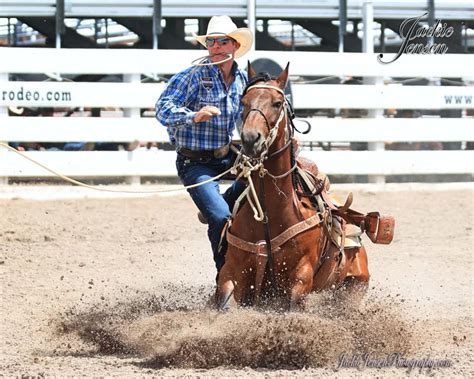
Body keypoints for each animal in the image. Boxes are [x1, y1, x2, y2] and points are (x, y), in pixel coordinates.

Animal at [217, 62, 380, 312]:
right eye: (243, 102)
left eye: (277, 103)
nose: (250, 139)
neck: (270, 215)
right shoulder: (231, 271)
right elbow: (225, 302)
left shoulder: (300, 277)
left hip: (354, 287)